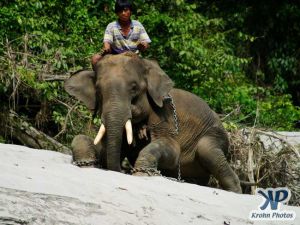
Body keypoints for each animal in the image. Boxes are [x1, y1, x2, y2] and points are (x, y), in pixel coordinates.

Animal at [64, 53, 243, 192]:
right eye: (98, 90)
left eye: (134, 88)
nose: (121, 170)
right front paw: (86, 163)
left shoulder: (164, 116)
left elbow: (172, 149)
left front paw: (142, 172)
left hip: (217, 136)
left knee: (207, 150)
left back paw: (233, 191)